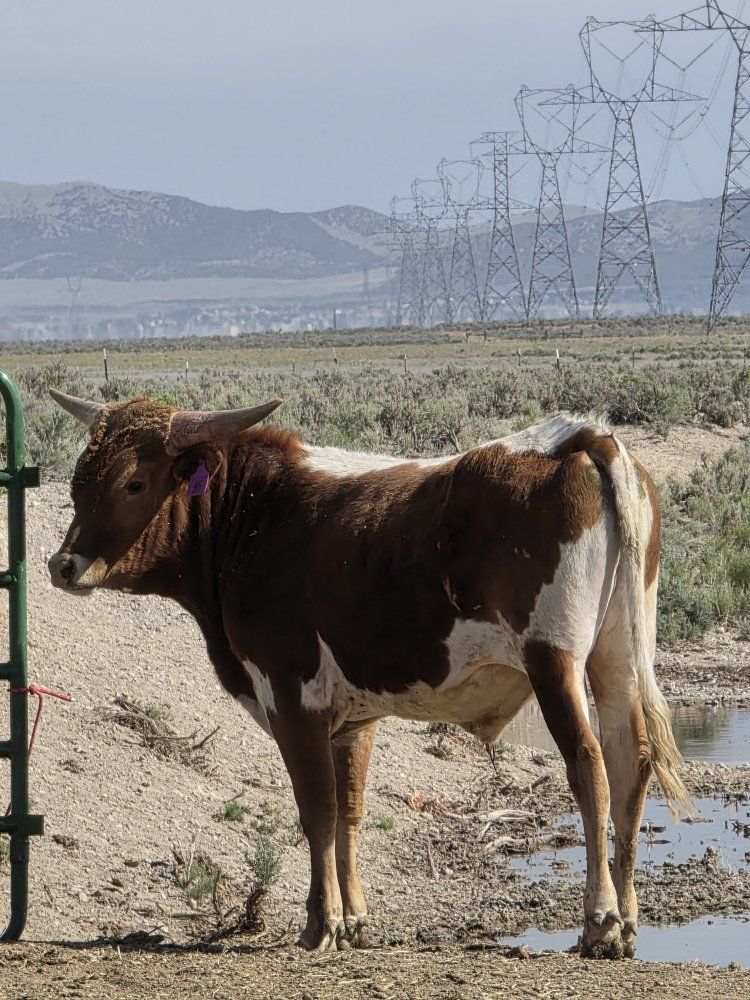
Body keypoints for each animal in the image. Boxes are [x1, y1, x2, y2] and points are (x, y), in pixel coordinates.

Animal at [47, 389, 690, 959]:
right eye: (79, 480)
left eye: (134, 483)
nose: (63, 565)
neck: (252, 514)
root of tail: (579, 438)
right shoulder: (353, 717)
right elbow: (350, 810)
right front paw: (354, 919)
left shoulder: (292, 697)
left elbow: (317, 810)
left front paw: (321, 923)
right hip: (616, 657)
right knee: (630, 763)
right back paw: (627, 919)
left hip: (555, 660)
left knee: (590, 767)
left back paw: (600, 920)